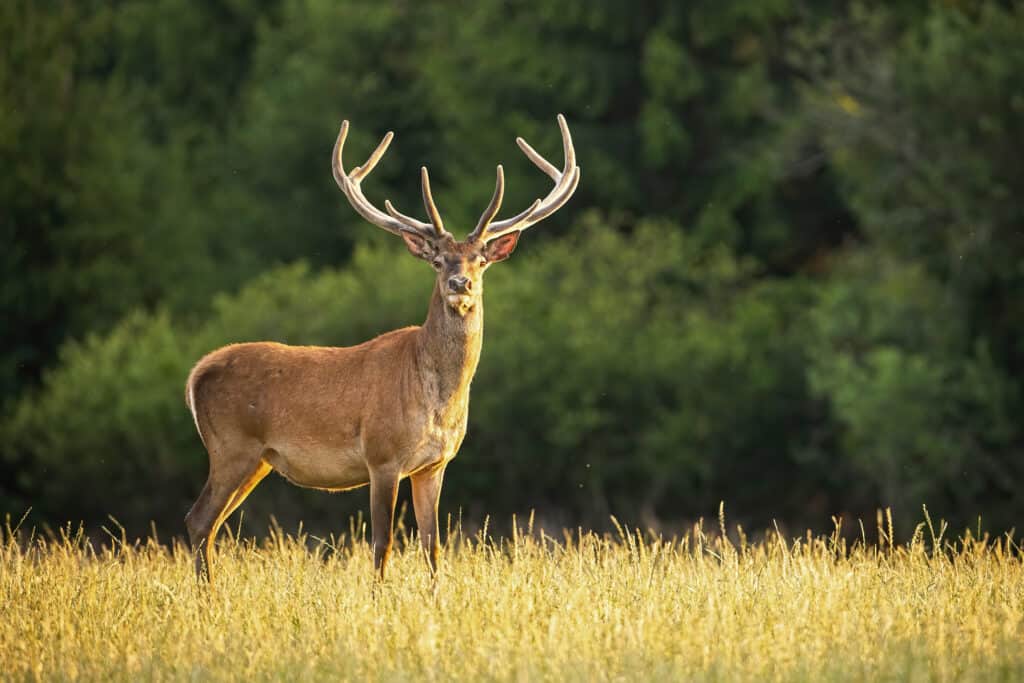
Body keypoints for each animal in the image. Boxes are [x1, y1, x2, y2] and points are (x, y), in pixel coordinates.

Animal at [184, 113, 581, 581]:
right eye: (437, 260)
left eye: (480, 260)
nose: (459, 283)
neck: (437, 400)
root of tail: (196, 373)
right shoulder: (382, 456)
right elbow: (382, 543)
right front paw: (378, 594)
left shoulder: (435, 464)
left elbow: (433, 546)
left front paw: (435, 594)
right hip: (231, 446)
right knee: (198, 519)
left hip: (258, 459)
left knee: (209, 524)